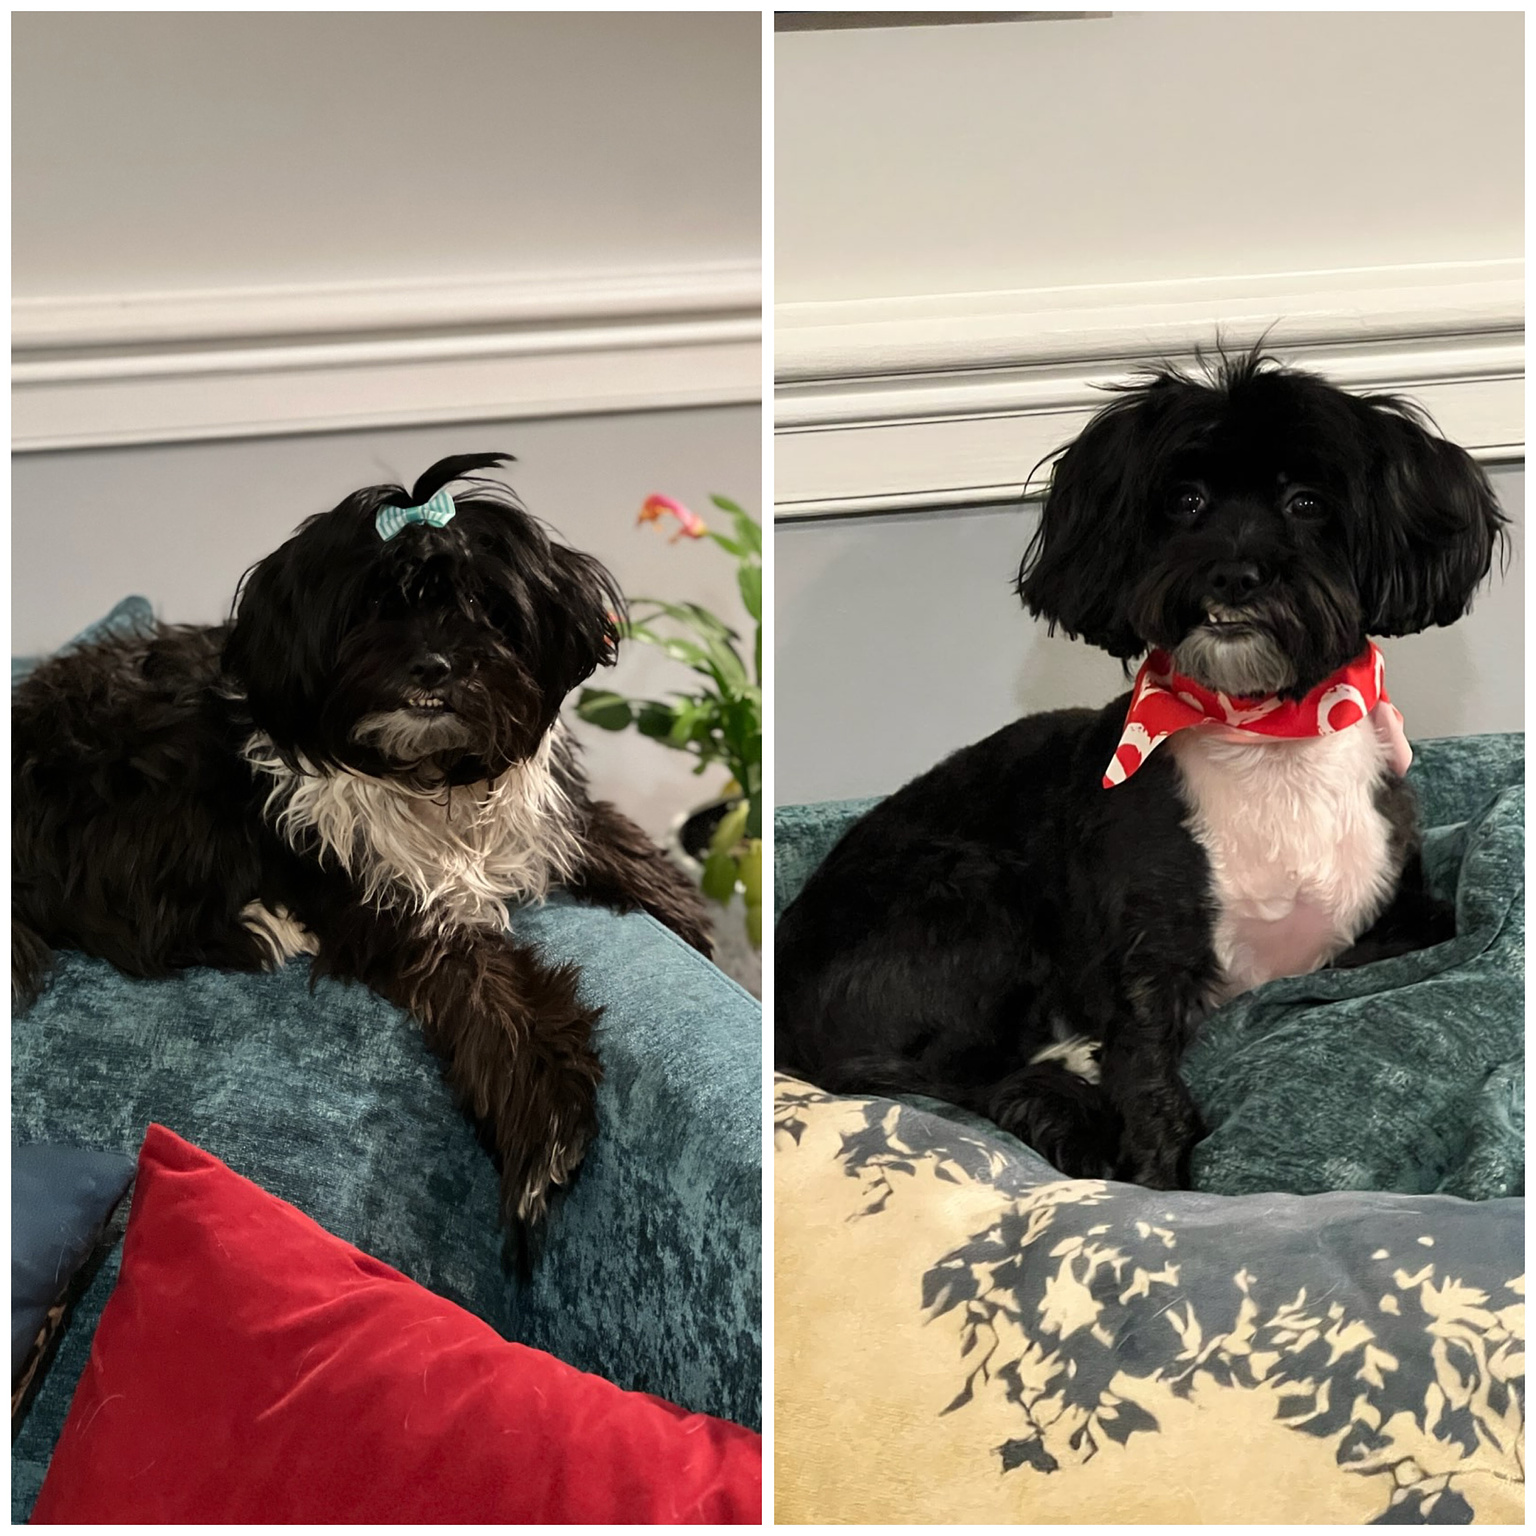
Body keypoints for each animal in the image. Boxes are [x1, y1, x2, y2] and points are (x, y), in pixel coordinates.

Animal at [14, 448, 709, 1228]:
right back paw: (266, 926)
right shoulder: (379, 893)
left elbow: (600, 831)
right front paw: (544, 1116)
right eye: (374, 607)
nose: (433, 664)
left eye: (487, 606)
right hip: (160, 784)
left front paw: (680, 912)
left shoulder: (532, 810)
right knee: (133, 918)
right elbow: (482, 982)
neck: (431, 775)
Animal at [774, 353, 1505, 1191]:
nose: (1234, 573)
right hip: (968, 888)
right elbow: (1148, 1080)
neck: (1262, 735)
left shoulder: (1392, 900)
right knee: (949, 1076)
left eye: (1308, 502)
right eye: (1185, 501)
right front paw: (1162, 1174)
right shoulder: (1149, 953)